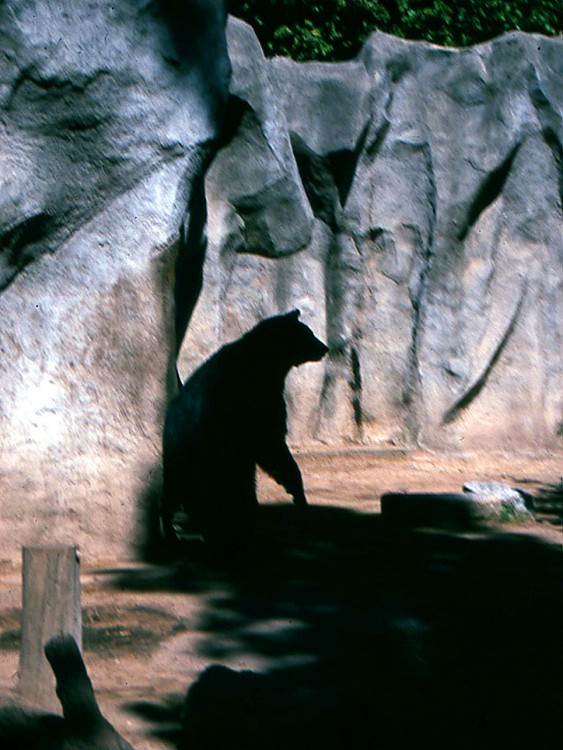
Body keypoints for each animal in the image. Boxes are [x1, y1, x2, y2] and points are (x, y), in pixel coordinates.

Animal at [161, 312, 328, 552]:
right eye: (308, 332)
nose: (324, 347)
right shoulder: (256, 398)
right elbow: (271, 443)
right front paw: (297, 491)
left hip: (182, 454)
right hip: (202, 454)